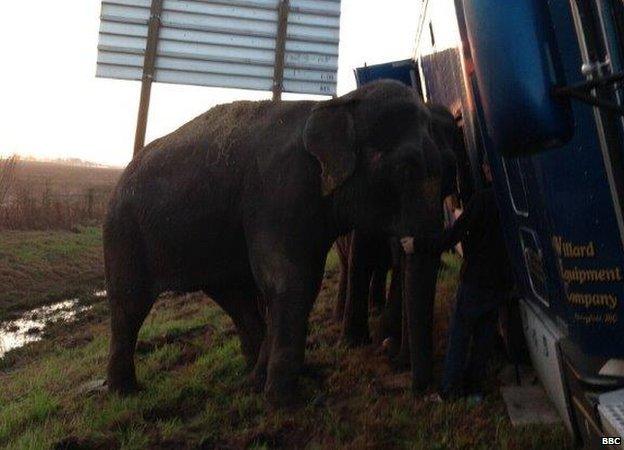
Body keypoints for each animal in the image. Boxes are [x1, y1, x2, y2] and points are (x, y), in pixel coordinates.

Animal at [106, 78, 448, 404]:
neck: (337, 104)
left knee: (236, 298)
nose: (417, 388)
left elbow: (302, 282)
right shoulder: (279, 190)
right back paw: (126, 392)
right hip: (124, 233)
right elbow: (289, 280)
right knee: (129, 305)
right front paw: (285, 401)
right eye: (405, 169)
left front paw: (280, 385)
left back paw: (252, 376)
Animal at [332, 104, 464, 380]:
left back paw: (377, 308)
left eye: (450, 168)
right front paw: (354, 343)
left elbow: (401, 264)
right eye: (398, 174)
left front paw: (388, 339)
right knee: (349, 266)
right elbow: (361, 259)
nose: (398, 359)